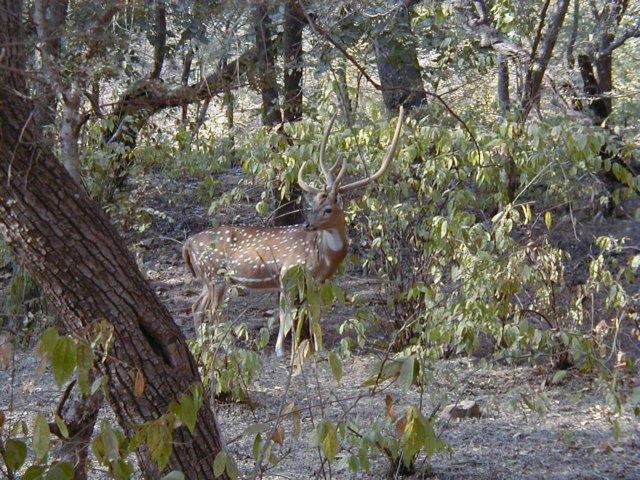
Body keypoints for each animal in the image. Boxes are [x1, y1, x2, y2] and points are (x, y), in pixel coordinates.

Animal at [183, 107, 405, 357]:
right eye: (312, 206)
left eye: (327, 208)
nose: (307, 225)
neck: (322, 257)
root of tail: (187, 244)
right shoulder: (288, 272)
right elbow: (286, 314)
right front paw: (281, 349)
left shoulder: (315, 281)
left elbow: (313, 312)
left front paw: (318, 348)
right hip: (215, 274)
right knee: (213, 311)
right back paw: (226, 348)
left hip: (207, 278)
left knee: (196, 306)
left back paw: (202, 345)